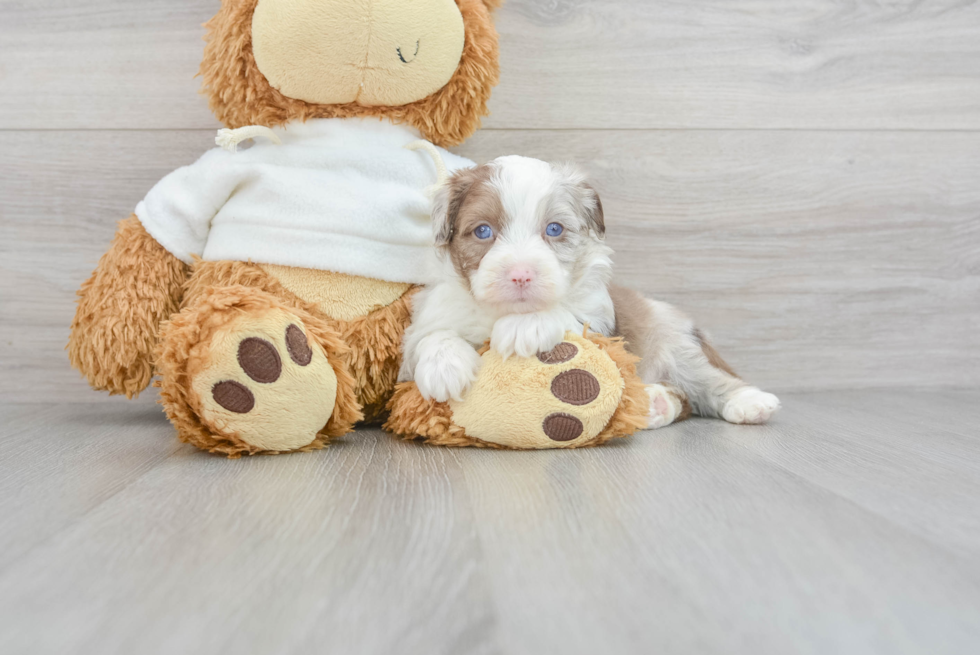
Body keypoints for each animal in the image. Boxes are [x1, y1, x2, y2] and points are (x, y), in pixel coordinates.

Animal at [398, 156, 780, 428]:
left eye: (554, 229)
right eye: (482, 231)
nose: (521, 275)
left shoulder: (600, 326)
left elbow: (566, 314)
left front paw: (525, 327)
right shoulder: (426, 322)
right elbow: (431, 336)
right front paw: (444, 368)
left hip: (674, 342)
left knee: (707, 380)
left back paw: (749, 402)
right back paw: (655, 404)